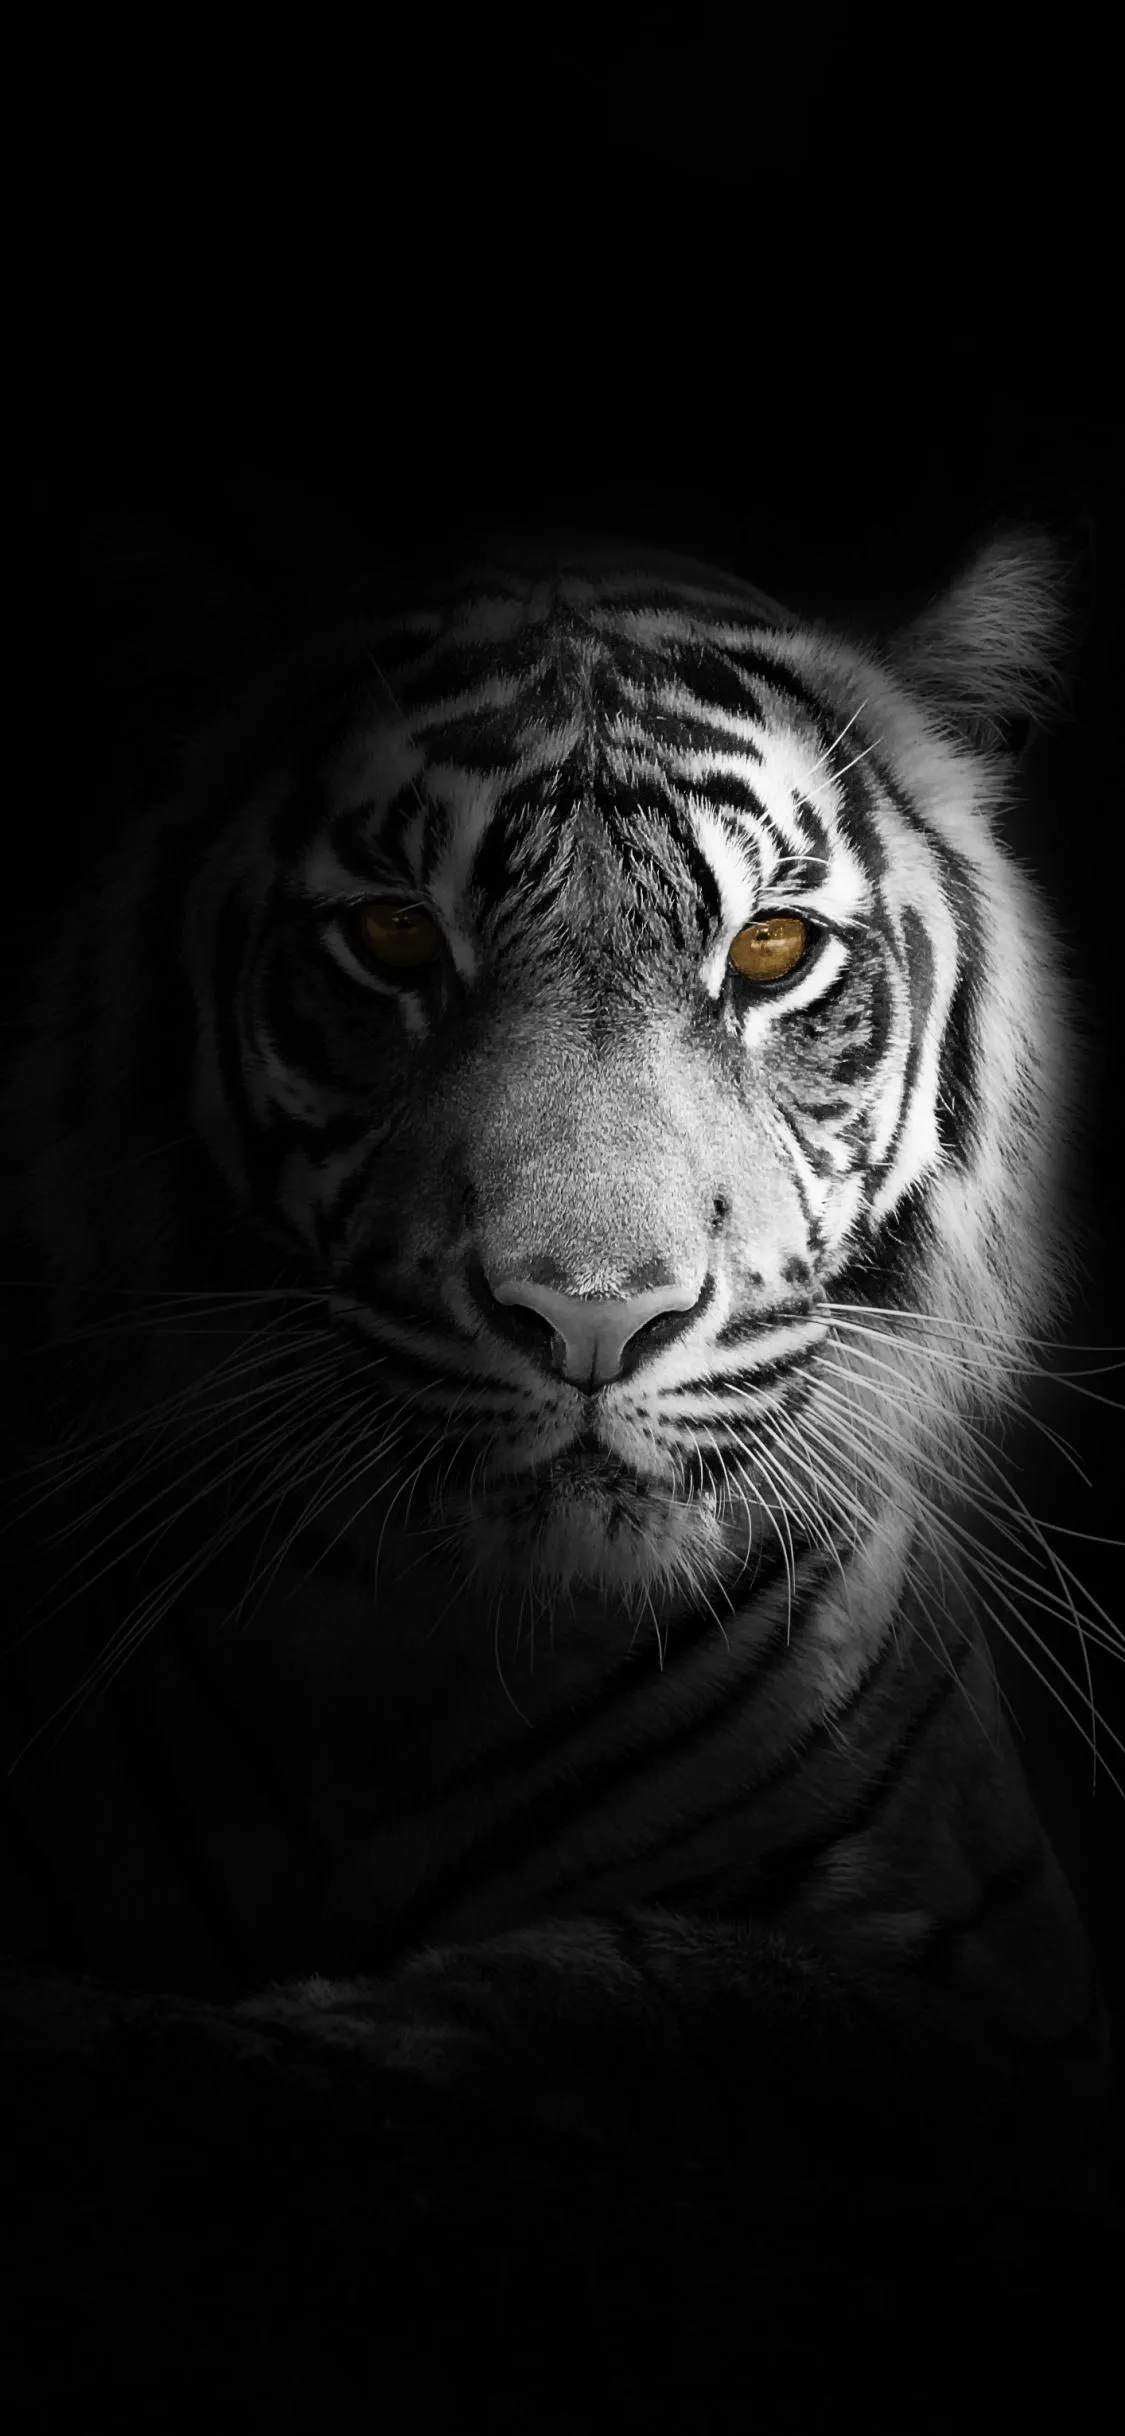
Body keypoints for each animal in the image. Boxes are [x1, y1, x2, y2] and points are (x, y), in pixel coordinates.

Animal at [0, 518, 1117, 2230]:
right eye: (393, 935)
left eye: (769, 950)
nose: (592, 1317)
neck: (438, 1662)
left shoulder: (1007, 2006)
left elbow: (677, 1995)